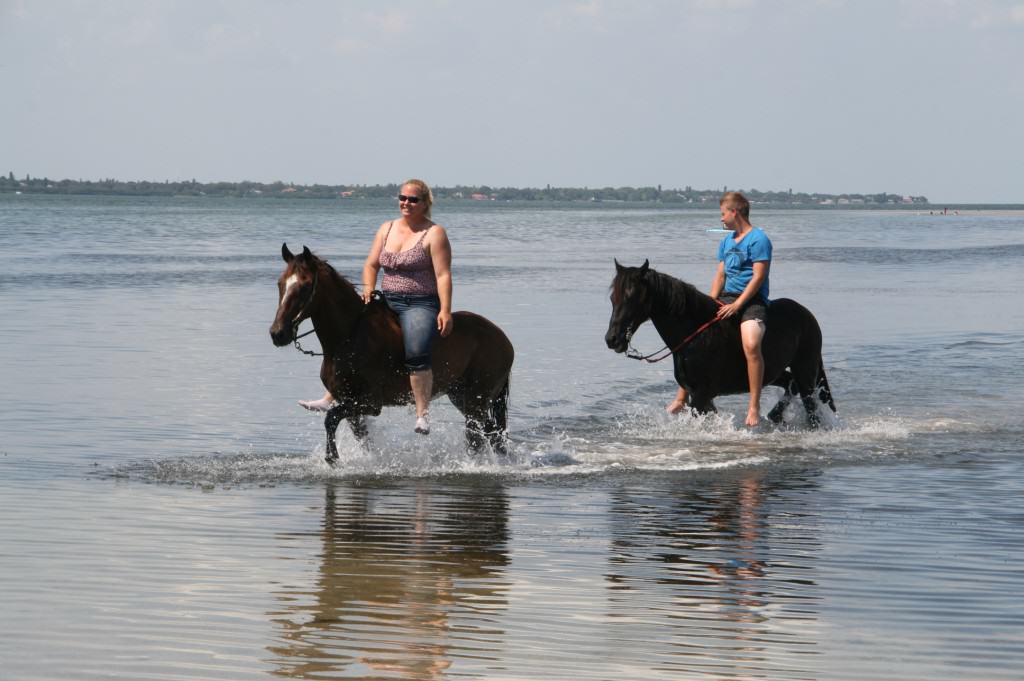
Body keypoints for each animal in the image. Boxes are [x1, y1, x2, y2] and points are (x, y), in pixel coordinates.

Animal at [602, 259, 835, 426]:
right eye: (613, 298)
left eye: (632, 297)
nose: (612, 339)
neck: (695, 335)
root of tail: (807, 315)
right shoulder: (699, 395)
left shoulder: (701, 395)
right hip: (776, 372)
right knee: (790, 383)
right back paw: (774, 415)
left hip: (805, 372)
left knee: (809, 407)